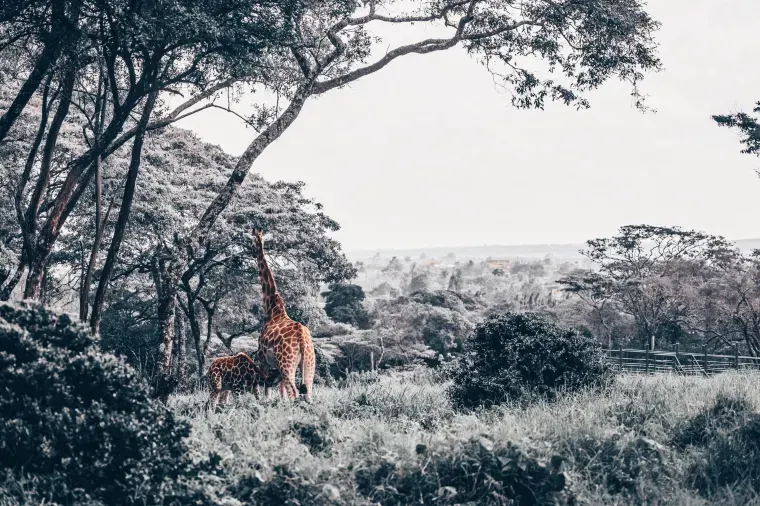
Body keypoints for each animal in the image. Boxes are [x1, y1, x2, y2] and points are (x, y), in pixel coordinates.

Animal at [252, 227, 314, 402]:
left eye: (252, 240)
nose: (253, 250)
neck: (272, 307)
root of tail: (301, 338)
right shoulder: (276, 366)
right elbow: (281, 393)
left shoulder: (263, 360)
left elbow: (267, 391)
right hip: (308, 362)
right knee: (308, 391)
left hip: (287, 363)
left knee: (294, 392)